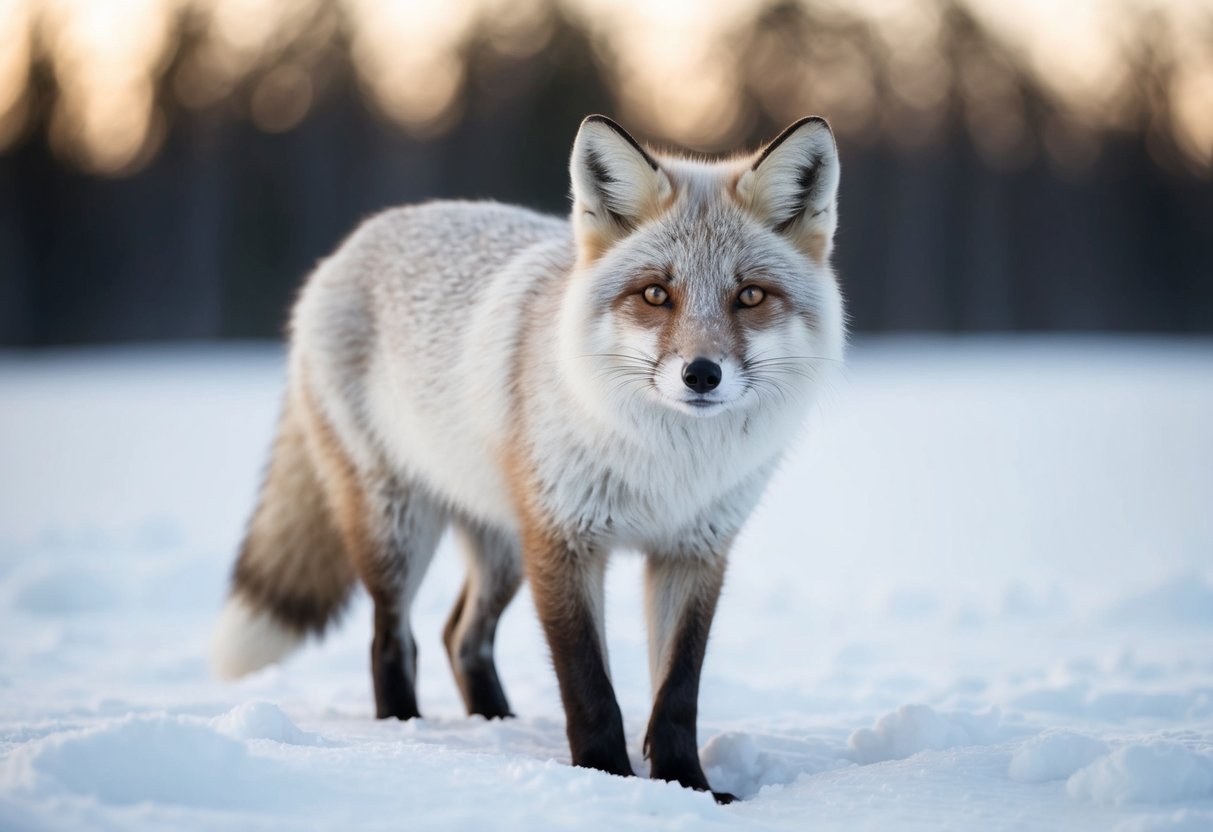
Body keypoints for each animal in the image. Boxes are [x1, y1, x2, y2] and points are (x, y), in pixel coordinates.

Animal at [210, 114, 844, 802]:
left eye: (750, 296)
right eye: (656, 294)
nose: (701, 375)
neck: (666, 468)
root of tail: (349, 245)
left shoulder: (693, 551)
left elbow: (677, 693)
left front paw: (688, 786)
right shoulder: (564, 541)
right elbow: (588, 686)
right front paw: (606, 777)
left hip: (504, 546)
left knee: (460, 635)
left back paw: (496, 722)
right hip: (401, 528)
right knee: (393, 639)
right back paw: (406, 734)